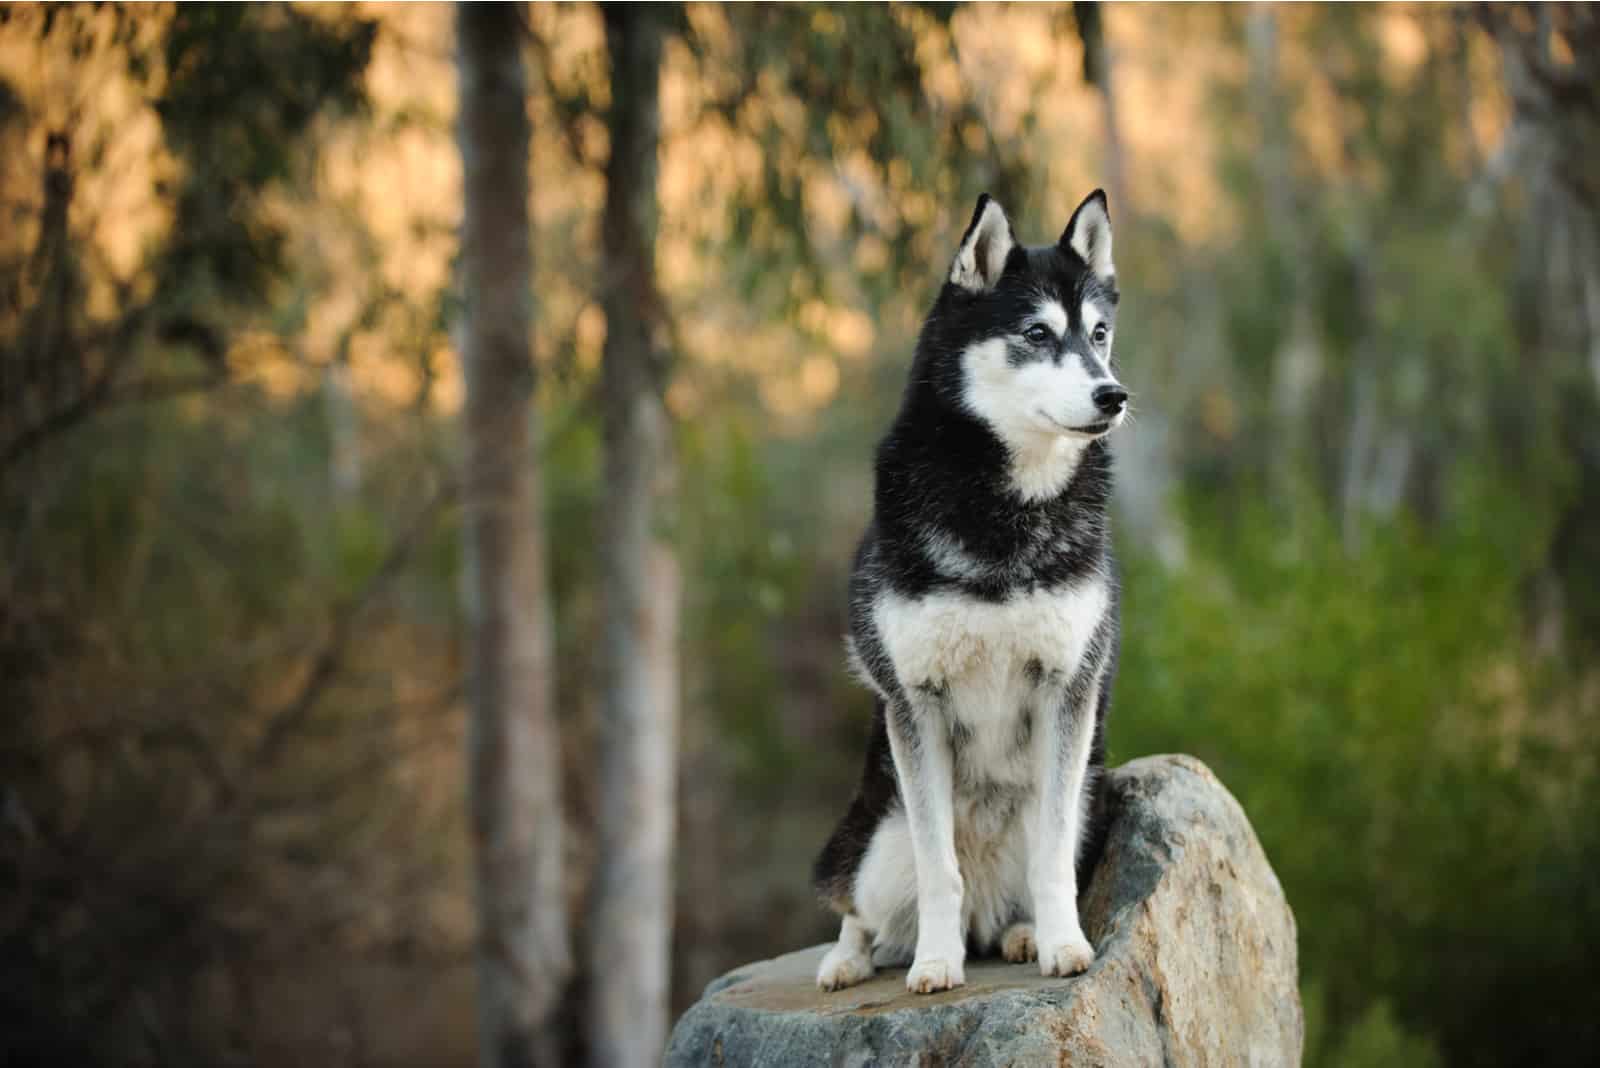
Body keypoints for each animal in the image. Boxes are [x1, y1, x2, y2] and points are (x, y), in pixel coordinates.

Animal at [812, 189, 1126, 991]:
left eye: (1099, 333)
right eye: (1037, 333)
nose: (1113, 395)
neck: (1003, 512)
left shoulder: (1068, 691)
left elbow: (1051, 859)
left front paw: (1062, 944)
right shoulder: (914, 700)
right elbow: (938, 869)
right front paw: (934, 962)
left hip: (1089, 794)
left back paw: (1018, 933)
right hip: (871, 839)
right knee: (859, 904)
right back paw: (849, 958)